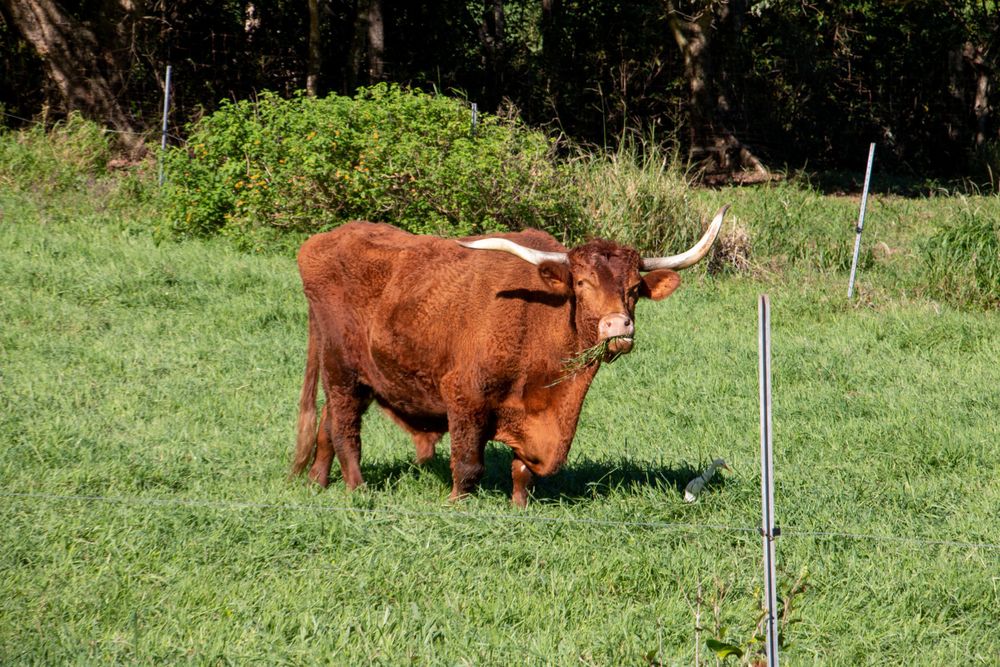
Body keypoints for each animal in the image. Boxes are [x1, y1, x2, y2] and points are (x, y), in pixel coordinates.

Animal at [292, 205, 729, 506]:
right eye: (582, 283)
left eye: (635, 288)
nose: (617, 326)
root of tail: (319, 242)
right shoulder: (464, 396)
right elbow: (468, 465)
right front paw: (456, 505)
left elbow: (522, 470)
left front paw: (520, 507)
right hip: (341, 370)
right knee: (345, 429)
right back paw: (357, 489)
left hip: (358, 376)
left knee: (327, 423)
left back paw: (316, 481)